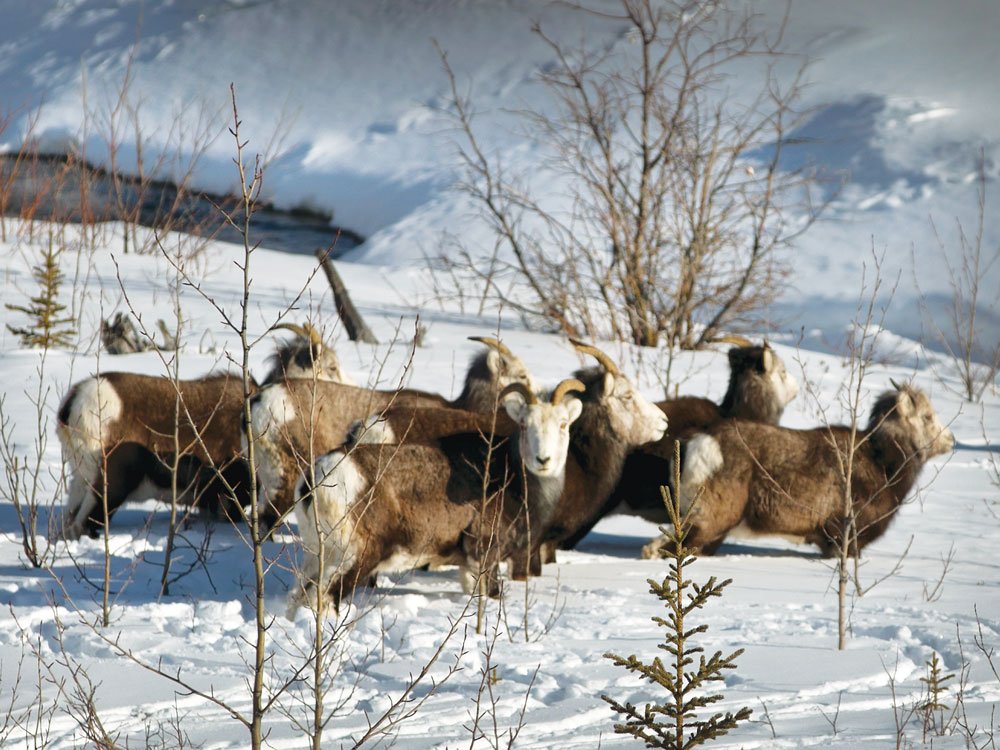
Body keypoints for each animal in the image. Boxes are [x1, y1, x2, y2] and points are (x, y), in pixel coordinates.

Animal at [288, 378, 584, 612]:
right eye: (524, 424)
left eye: (563, 424)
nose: (542, 459)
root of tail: (315, 481)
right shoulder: (485, 555)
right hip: (354, 557)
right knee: (326, 598)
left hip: (317, 556)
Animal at [640, 382, 952, 560]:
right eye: (927, 417)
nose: (950, 440)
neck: (885, 467)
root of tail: (699, 445)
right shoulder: (845, 539)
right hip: (711, 519)